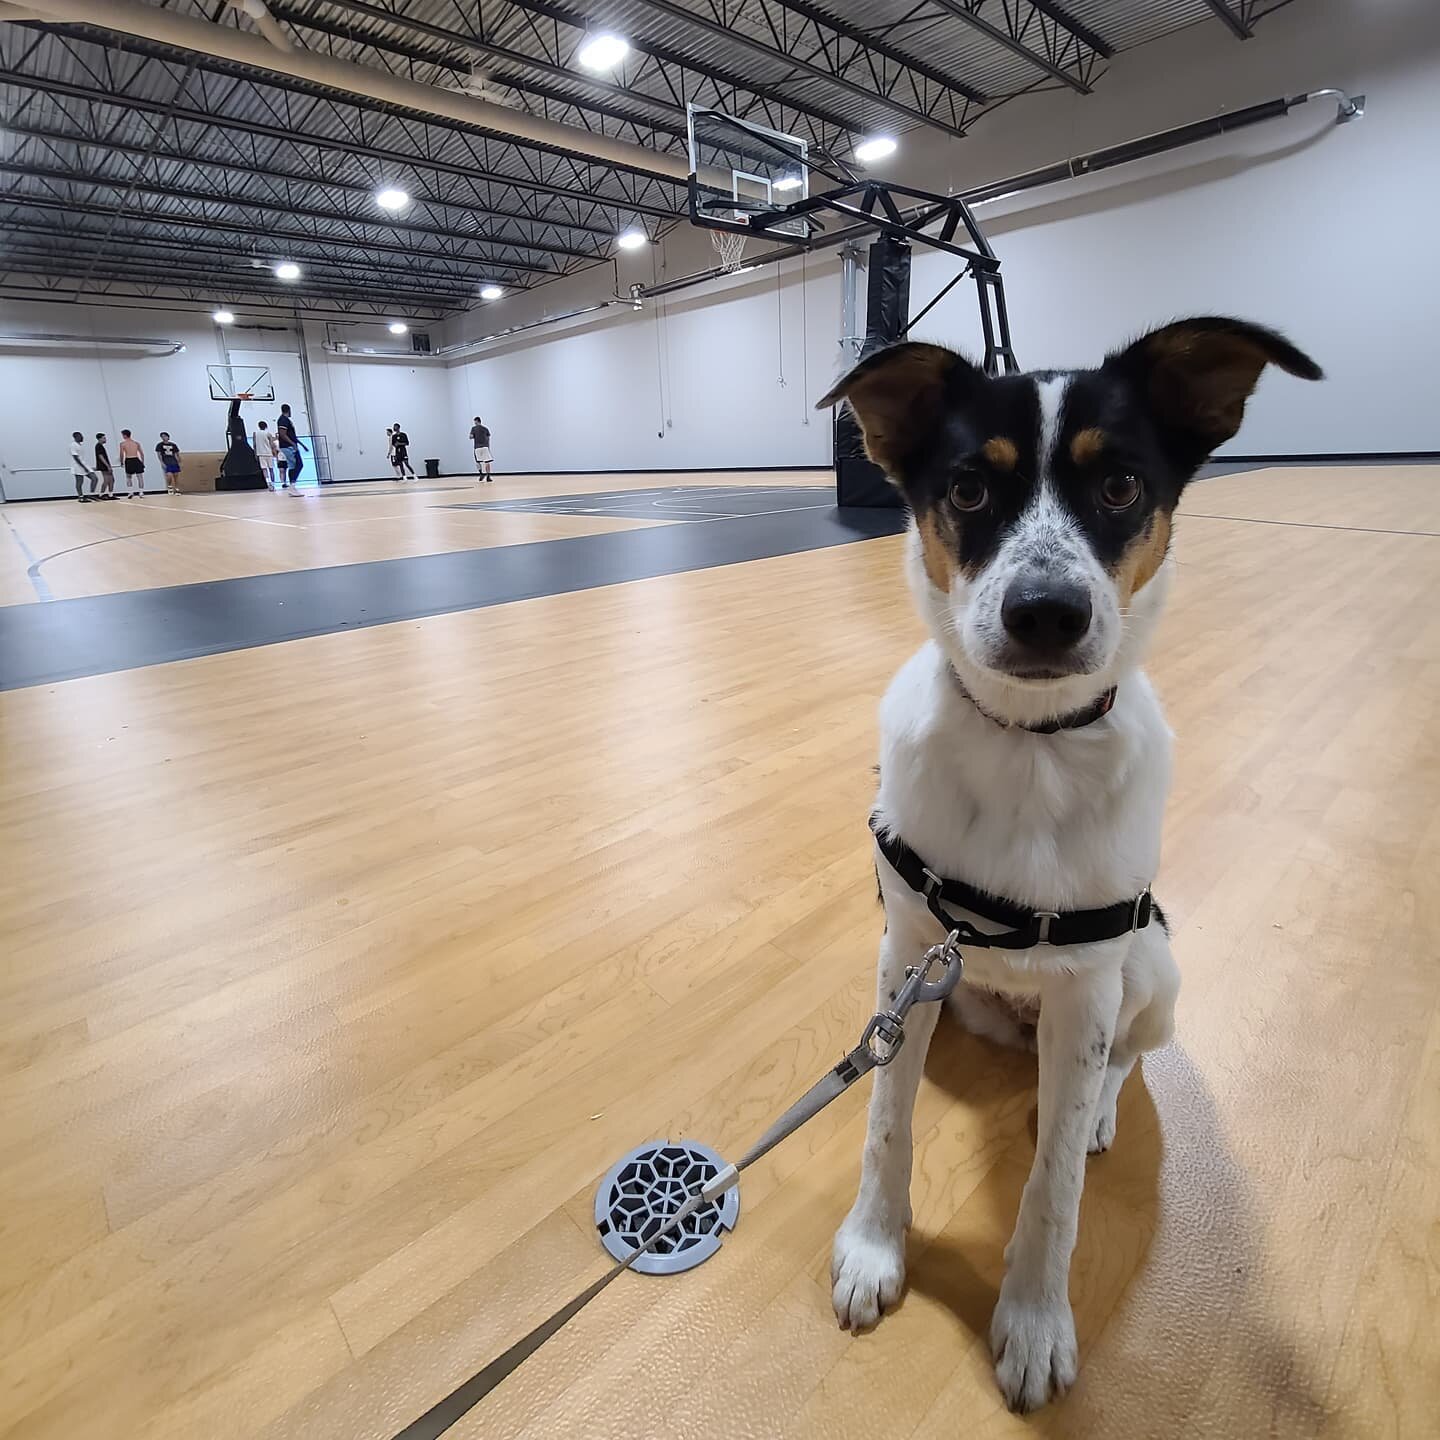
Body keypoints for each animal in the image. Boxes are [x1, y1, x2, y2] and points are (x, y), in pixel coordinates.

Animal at [817, 321, 1319, 1411]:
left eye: (1122, 485)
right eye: (968, 490)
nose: (1045, 612)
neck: (1029, 742)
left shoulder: (1092, 984)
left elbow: (1053, 1188)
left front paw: (1036, 1320)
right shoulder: (906, 952)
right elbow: (886, 1117)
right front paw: (875, 1246)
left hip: (1153, 967)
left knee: (1120, 1061)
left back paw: (1090, 1110)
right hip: (961, 993)